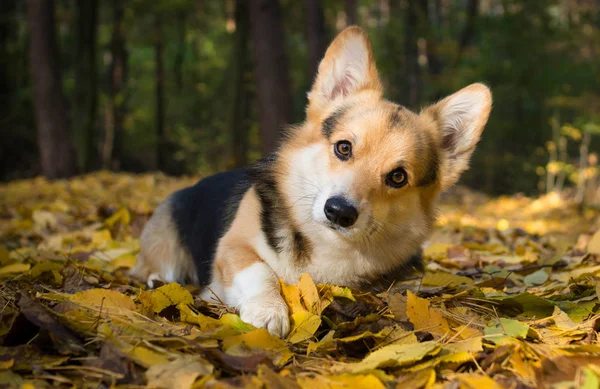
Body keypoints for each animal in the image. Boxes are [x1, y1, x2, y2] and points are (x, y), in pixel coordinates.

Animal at [131, 26, 492, 336]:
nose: (340, 212)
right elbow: (260, 271)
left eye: (398, 176)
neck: (325, 243)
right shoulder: (233, 246)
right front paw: (268, 311)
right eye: (344, 147)